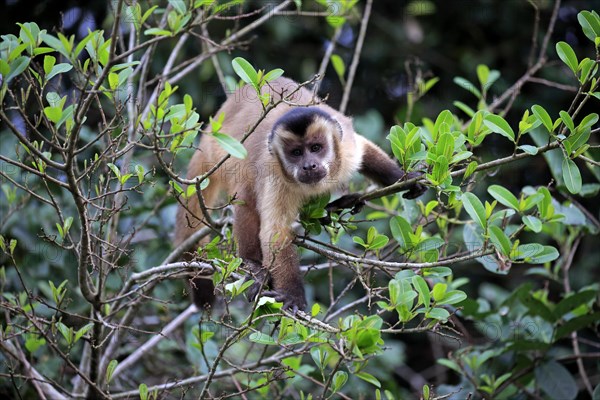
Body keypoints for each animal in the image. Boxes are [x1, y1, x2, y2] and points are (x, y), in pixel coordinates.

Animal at [175, 76, 426, 312]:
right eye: (296, 153)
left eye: (316, 148)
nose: (309, 166)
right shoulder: (273, 172)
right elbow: (275, 233)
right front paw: (292, 294)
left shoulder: (346, 149)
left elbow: (364, 149)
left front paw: (402, 179)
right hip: (223, 153)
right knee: (246, 193)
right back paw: (254, 266)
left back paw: (341, 204)